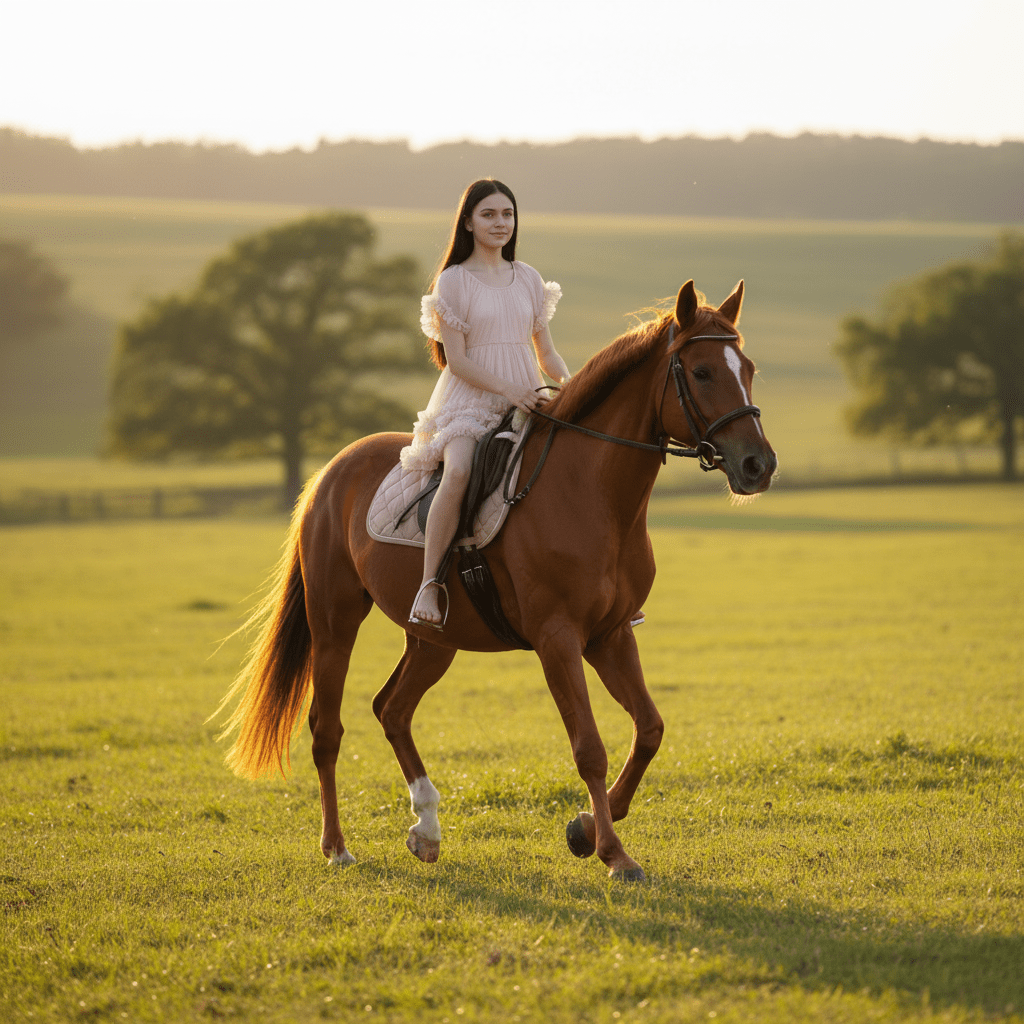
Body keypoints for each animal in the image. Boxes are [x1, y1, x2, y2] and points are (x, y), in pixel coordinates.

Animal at [213, 279, 777, 881]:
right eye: (701, 372)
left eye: (748, 368)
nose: (758, 465)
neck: (591, 493)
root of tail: (330, 471)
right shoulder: (558, 640)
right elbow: (590, 748)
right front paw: (613, 852)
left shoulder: (612, 635)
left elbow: (649, 729)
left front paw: (585, 828)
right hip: (335, 622)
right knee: (327, 728)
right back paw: (338, 847)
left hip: (434, 640)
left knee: (392, 709)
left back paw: (426, 829)